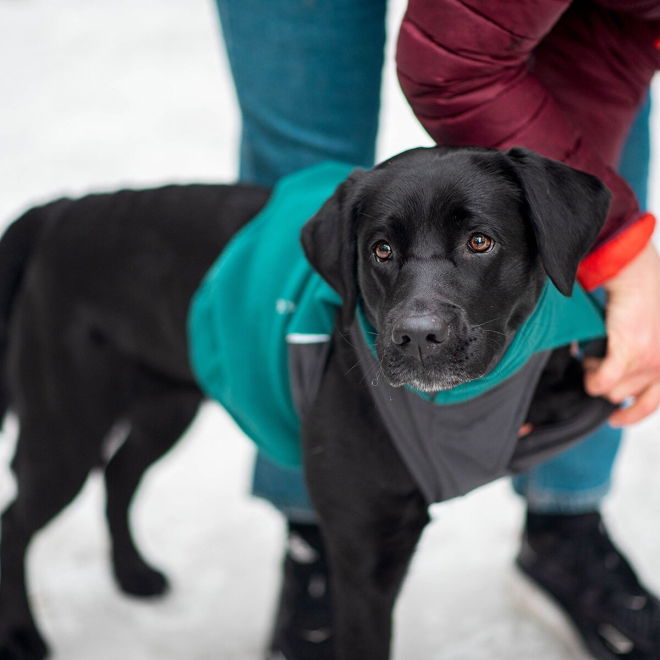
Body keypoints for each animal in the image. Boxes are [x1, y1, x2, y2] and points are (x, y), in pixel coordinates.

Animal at [0, 147, 608, 656]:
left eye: (480, 241)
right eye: (380, 250)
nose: (416, 336)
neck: (453, 407)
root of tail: (62, 210)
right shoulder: (365, 558)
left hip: (163, 409)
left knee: (119, 475)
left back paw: (133, 577)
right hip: (65, 433)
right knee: (18, 521)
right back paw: (23, 634)